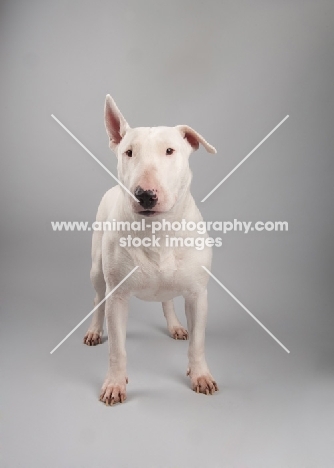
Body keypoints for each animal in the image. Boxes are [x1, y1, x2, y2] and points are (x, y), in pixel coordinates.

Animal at [85, 96, 218, 406]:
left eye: (170, 150)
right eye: (129, 152)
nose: (144, 195)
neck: (158, 232)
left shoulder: (198, 294)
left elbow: (198, 342)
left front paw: (200, 376)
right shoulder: (118, 296)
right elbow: (117, 348)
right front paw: (114, 384)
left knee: (167, 299)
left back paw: (175, 325)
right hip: (97, 269)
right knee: (98, 299)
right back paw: (95, 330)